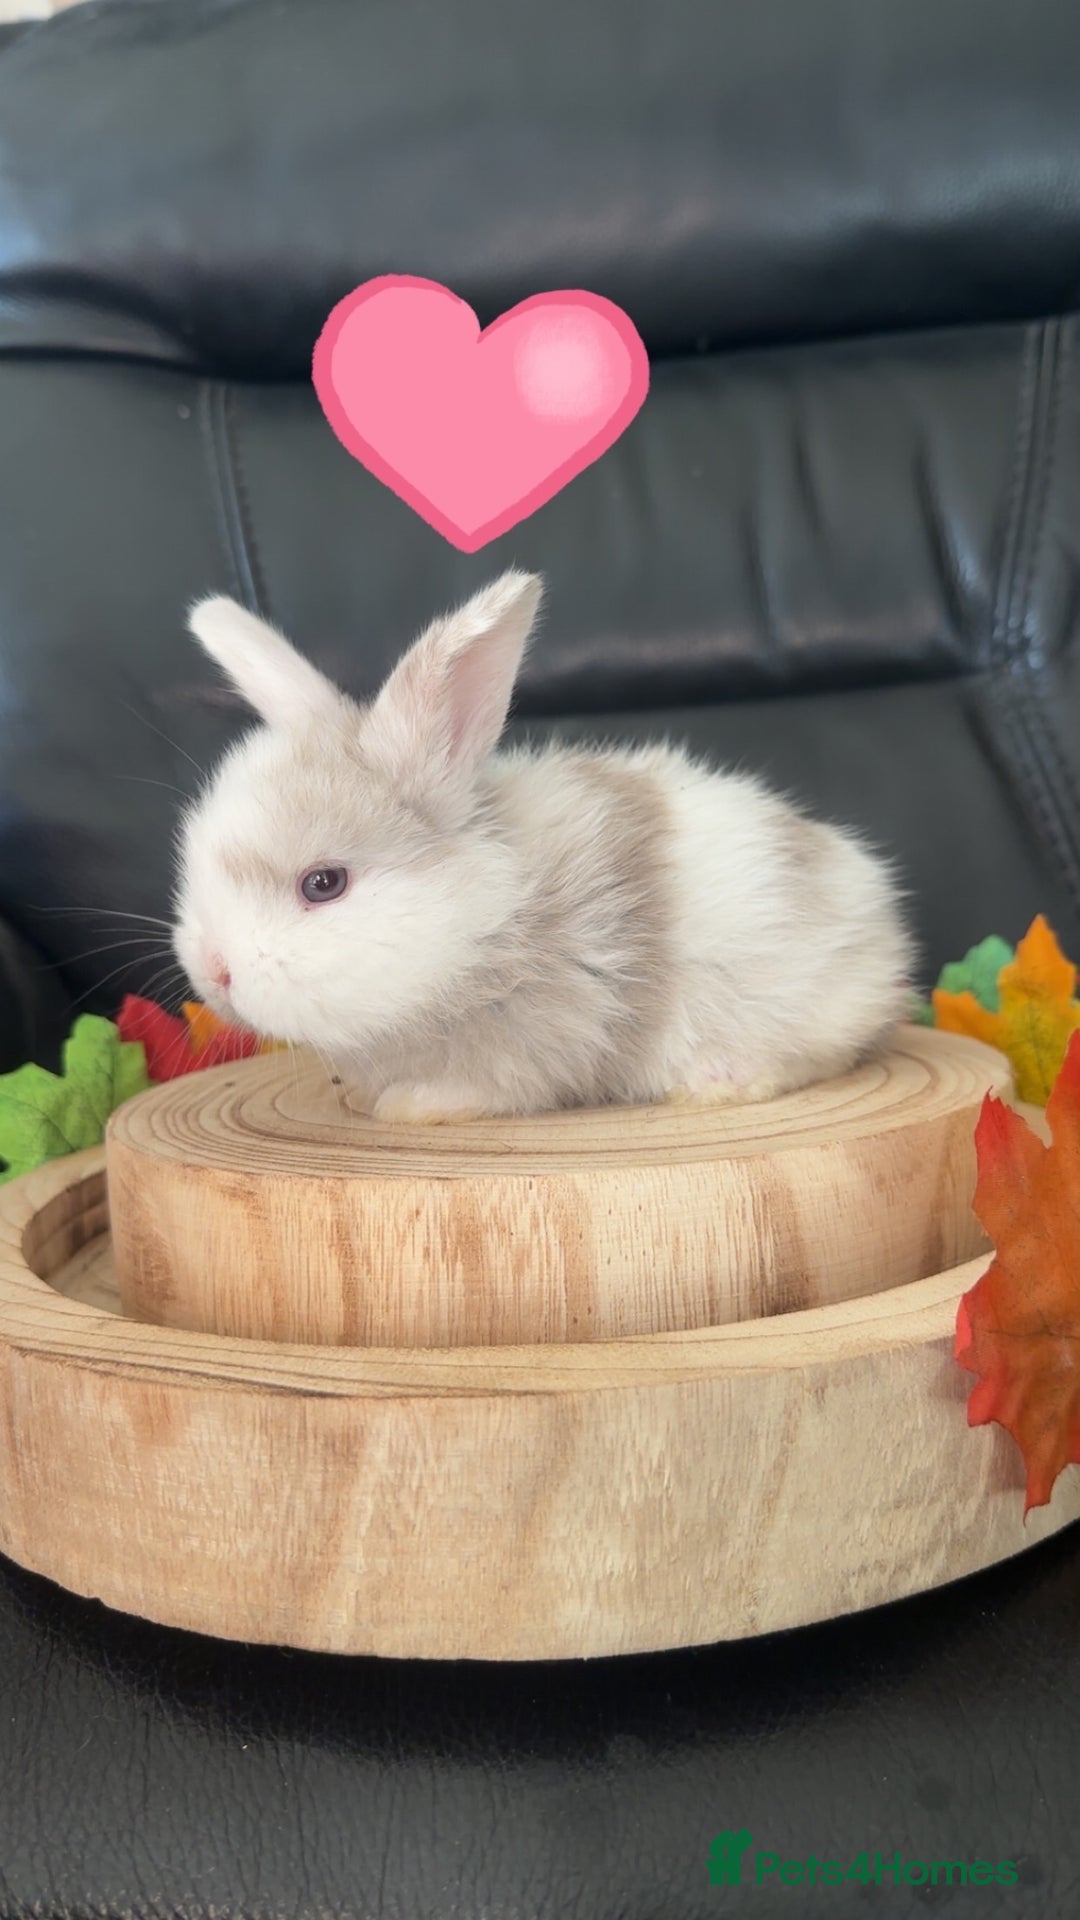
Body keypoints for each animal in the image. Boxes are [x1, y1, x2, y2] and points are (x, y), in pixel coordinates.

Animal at [172, 570, 916, 1123]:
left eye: (323, 883)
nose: (215, 972)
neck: (481, 923)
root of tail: (881, 932)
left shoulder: (540, 1032)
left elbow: (484, 1085)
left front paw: (409, 1106)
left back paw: (720, 1081)